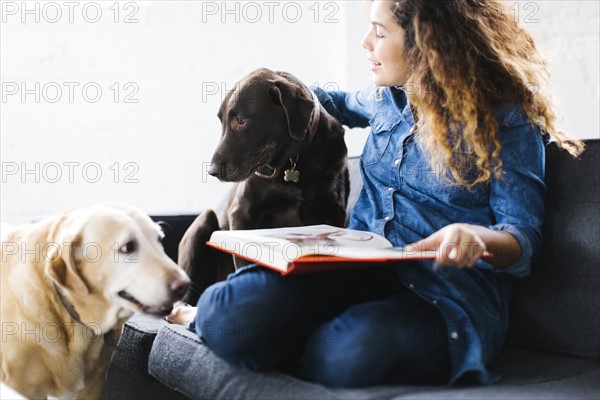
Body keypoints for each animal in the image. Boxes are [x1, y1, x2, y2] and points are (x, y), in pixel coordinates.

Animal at [178, 69, 350, 304]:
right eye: (221, 121)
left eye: (241, 120)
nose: (211, 171)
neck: (295, 163)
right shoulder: (241, 214)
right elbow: (242, 261)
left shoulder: (333, 214)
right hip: (203, 222)